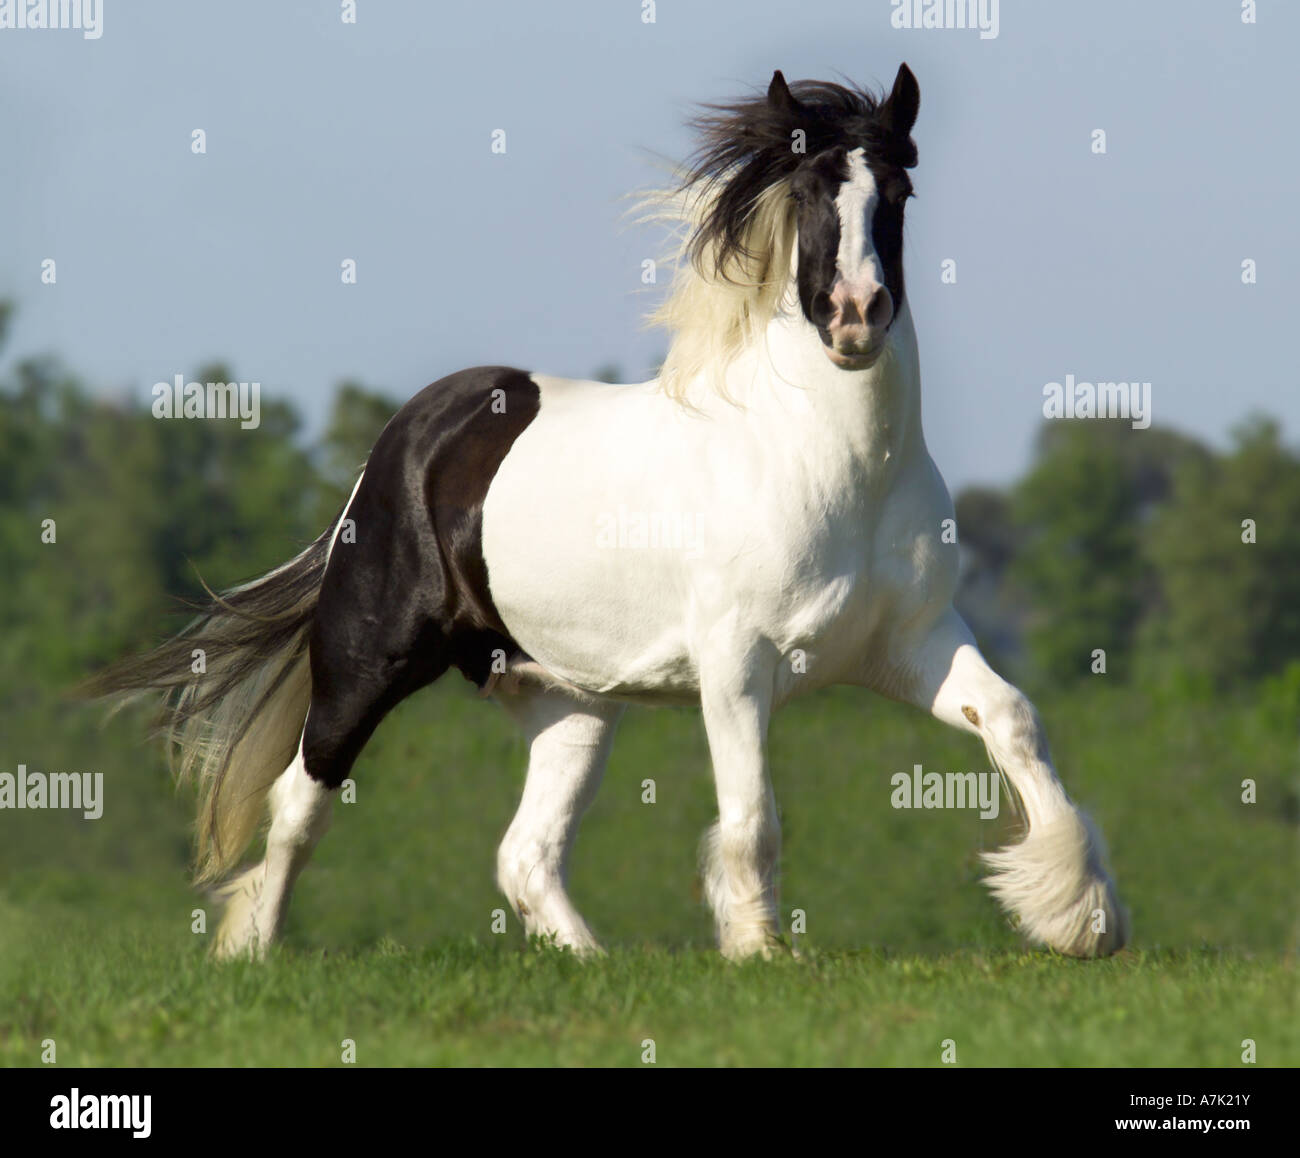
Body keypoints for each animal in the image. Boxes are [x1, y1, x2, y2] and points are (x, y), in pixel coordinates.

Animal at [88, 65, 1127, 961]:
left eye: (899, 194)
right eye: (805, 192)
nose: (855, 316)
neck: (831, 470)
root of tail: (408, 439)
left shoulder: (914, 643)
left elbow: (1014, 721)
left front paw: (1084, 919)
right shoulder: (736, 664)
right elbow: (753, 815)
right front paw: (761, 952)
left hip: (568, 701)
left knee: (526, 854)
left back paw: (595, 964)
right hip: (366, 661)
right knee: (300, 805)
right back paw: (252, 954)